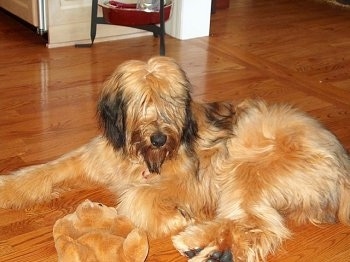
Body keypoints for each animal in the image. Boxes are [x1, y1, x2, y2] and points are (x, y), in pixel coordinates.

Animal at [0, 56, 350, 260]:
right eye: (142, 102)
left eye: (170, 102)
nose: (159, 138)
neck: (141, 157)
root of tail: (343, 163)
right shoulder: (93, 157)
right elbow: (44, 172)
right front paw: (7, 188)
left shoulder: (194, 182)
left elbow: (136, 197)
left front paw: (177, 218)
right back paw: (204, 248)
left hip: (247, 166)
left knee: (256, 226)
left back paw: (194, 238)